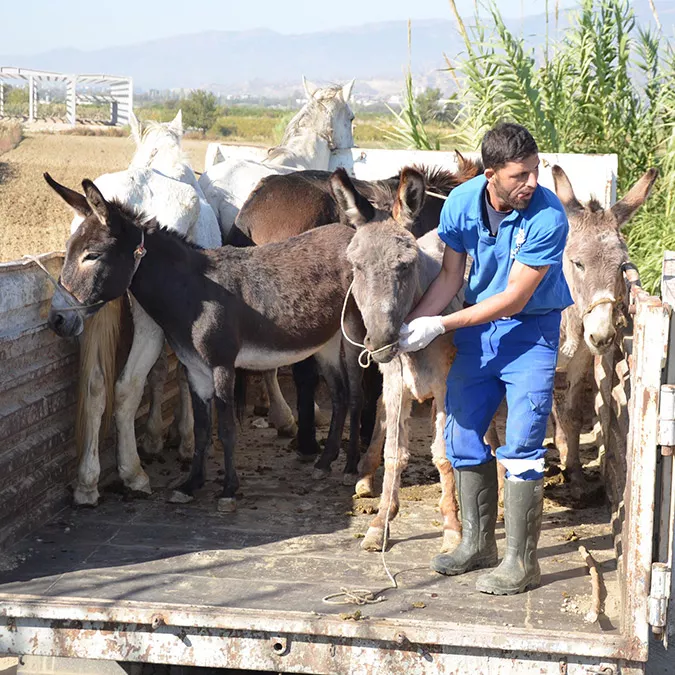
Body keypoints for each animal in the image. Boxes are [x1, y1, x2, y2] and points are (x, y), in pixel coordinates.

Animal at [69, 111, 220, 504]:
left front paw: (157, 436)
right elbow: (180, 373)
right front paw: (184, 439)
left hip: (88, 312)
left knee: (95, 384)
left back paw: (88, 482)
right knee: (127, 385)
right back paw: (133, 473)